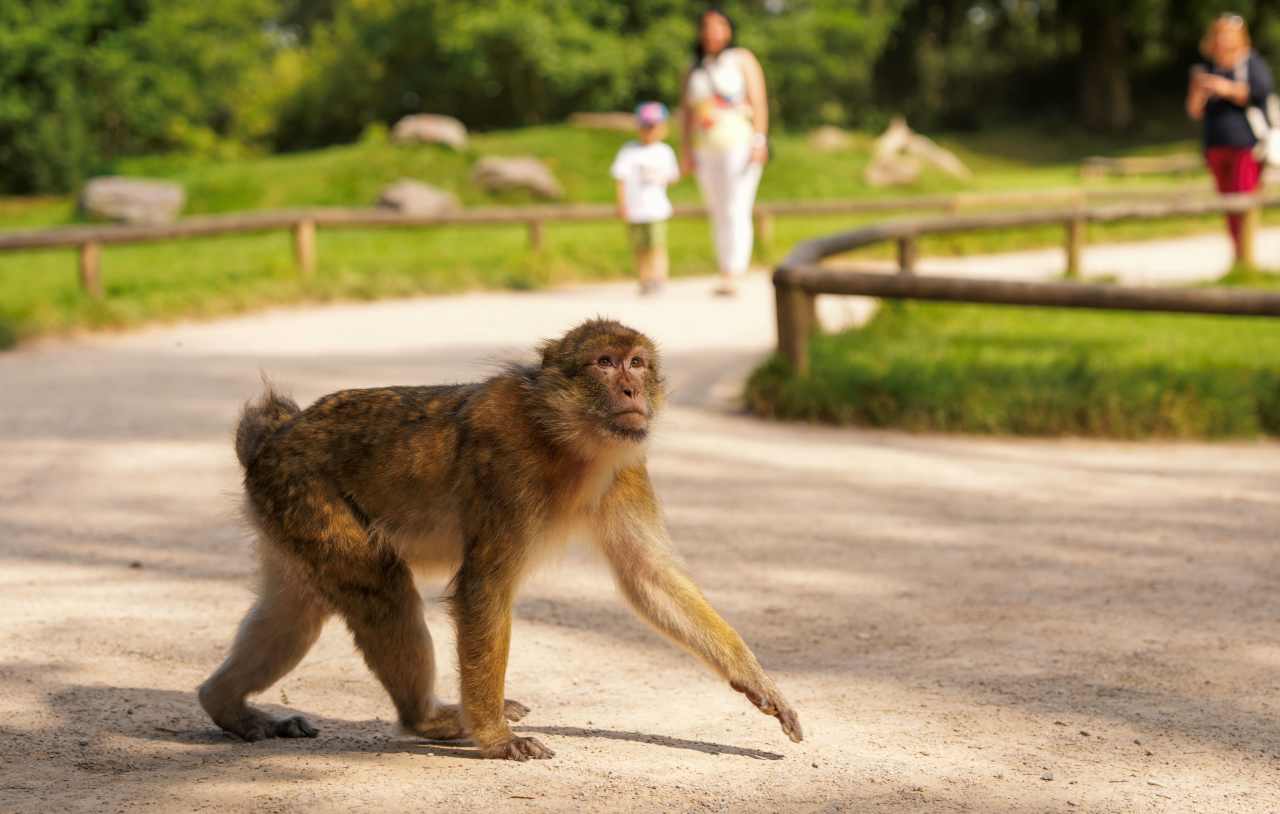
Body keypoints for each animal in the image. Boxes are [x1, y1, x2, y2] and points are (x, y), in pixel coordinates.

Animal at [198, 318, 802, 760]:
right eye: (604, 363)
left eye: (637, 362)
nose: (632, 388)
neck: (566, 441)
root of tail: (273, 437)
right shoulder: (508, 472)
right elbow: (483, 590)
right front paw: (493, 737)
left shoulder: (626, 470)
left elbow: (649, 578)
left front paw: (756, 679)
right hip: (303, 493)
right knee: (379, 586)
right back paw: (431, 719)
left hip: (284, 514)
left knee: (296, 611)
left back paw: (224, 704)